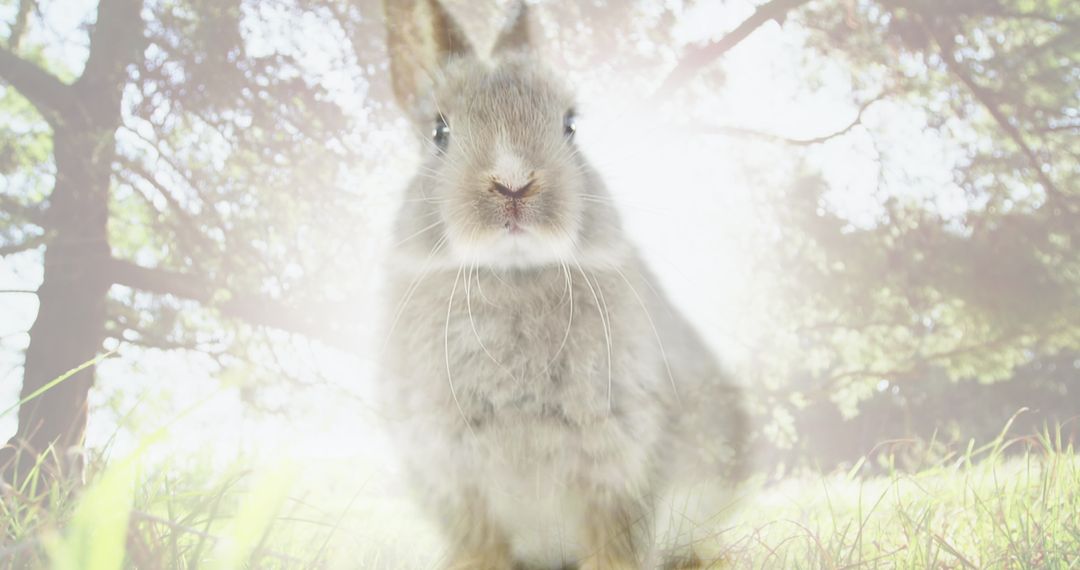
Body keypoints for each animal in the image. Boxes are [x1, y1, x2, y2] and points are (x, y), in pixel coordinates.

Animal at [377, 1, 748, 568]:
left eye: (570, 126)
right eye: (439, 133)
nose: (514, 184)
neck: (509, 276)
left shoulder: (622, 469)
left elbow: (616, 547)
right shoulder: (454, 480)